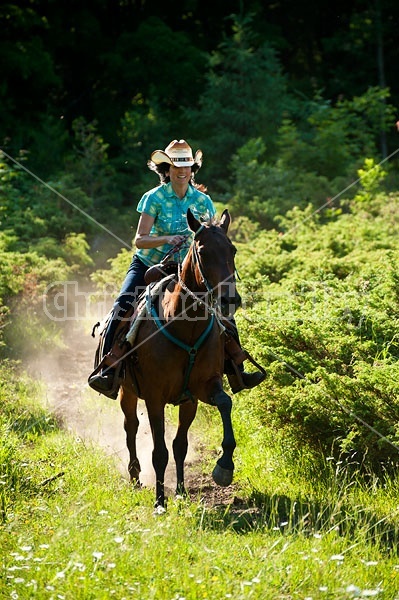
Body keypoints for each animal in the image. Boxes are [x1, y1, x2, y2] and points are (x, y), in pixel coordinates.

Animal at [120, 209, 241, 508]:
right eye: (203, 252)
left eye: (232, 249)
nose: (230, 300)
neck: (185, 327)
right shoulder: (154, 397)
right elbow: (160, 451)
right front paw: (160, 502)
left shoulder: (197, 393)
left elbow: (182, 443)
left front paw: (217, 471)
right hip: (127, 391)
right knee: (131, 426)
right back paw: (135, 476)